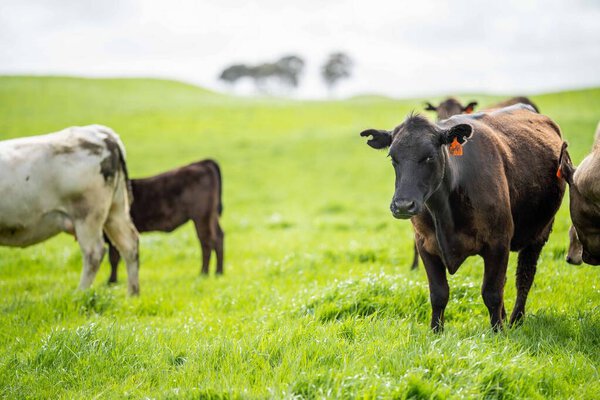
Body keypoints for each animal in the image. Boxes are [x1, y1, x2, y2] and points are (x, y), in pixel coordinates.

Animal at [0, 125, 140, 294]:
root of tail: (101, 133)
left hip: (87, 215)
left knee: (94, 252)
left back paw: (80, 294)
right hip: (115, 210)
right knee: (129, 245)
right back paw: (132, 295)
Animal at [360, 104, 568, 332]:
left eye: (429, 156)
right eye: (392, 158)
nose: (403, 205)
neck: (444, 213)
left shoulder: (498, 242)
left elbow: (491, 292)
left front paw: (498, 331)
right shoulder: (425, 245)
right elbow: (439, 293)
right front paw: (436, 331)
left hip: (540, 232)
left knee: (524, 277)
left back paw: (515, 320)